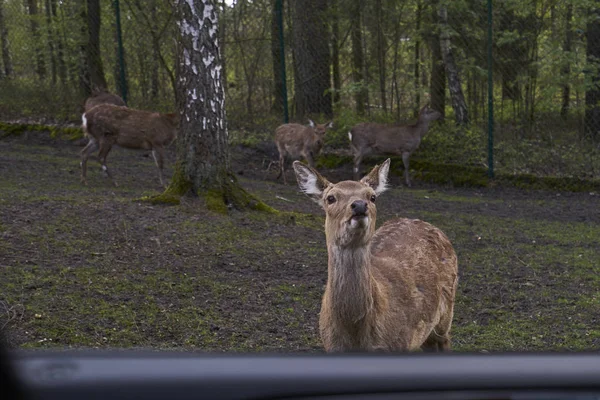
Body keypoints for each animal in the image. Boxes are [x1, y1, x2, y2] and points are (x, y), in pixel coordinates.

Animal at [292, 158, 458, 352]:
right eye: (330, 198)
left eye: (372, 197)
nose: (359, 205)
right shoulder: (330, 345)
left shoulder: (402, 341)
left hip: (446, 316)